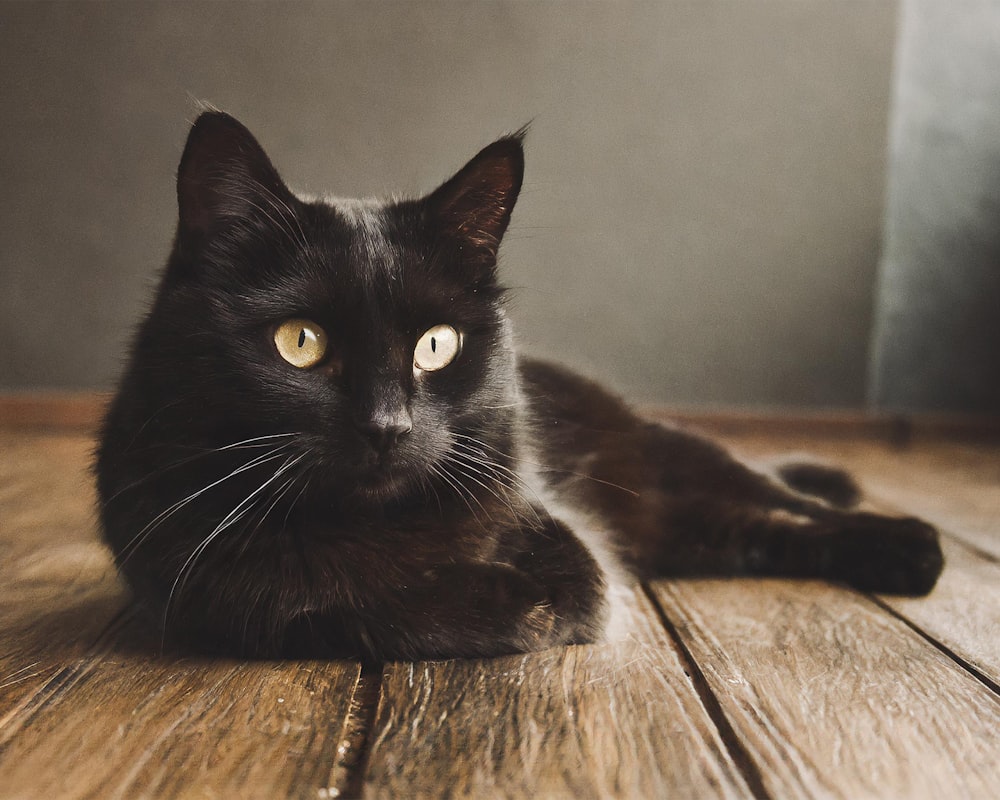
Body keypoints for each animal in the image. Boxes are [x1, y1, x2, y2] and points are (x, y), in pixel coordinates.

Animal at [92, 112, 936, 664]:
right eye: (301, 342)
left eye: (436, 346)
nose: (387, 426)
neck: (367, 525)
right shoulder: (201, 590)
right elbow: (331, 602)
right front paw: (500, 597)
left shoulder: (565, 535)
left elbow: (569, 588)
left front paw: (522, 596)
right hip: (679, 526)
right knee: (756, 530)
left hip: (674, 465)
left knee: (788, 503)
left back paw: (906, 545)